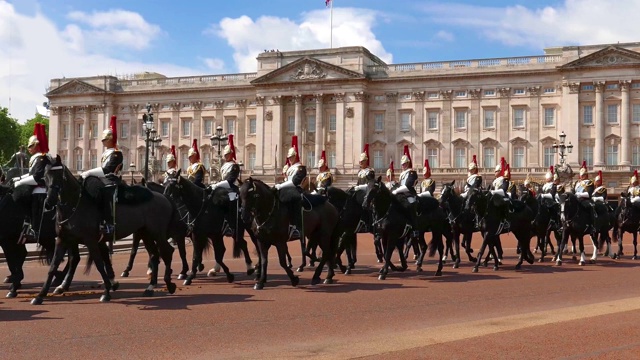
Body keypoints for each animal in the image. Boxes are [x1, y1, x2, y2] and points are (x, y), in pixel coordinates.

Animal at [40, 155, 176, 304]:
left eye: (60, 176)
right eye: (45, 176)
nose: (49, 202)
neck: (75, 206)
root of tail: (163, 196)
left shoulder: (90, 240)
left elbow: (99, 264)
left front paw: (107, 291)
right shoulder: (63, 239)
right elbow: (53, 266)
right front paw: (40, 295)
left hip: (157, 233)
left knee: (167, 252)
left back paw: (169, 284)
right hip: (146, 234)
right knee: (154, 255)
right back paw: (150, 287)